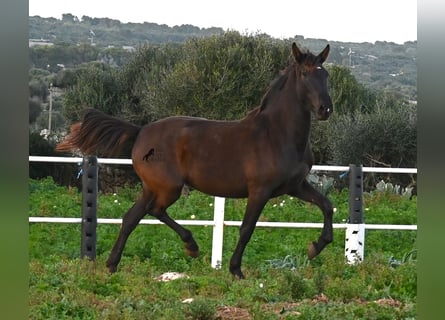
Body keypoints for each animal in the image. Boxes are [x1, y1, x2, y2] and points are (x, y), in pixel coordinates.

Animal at [55, 42, 332, 278]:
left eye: (326, 75)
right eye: (305, 74)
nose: (325, 109)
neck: (276, 134)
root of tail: (141, 131)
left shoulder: (294, 186)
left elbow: (327, 206)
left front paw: (315, 248)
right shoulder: (259, 191)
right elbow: (246, 229)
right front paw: (236, 270)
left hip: (152, 187)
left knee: (131, 218)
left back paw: (112, 265)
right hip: (168, 187)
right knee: (154, 211)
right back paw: (191, 246)